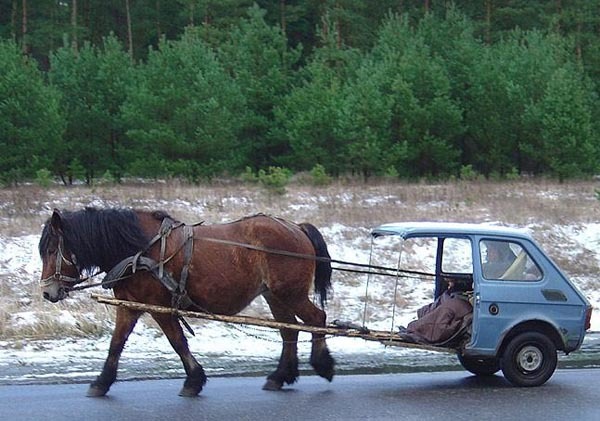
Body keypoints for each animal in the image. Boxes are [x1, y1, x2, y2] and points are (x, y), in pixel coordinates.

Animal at [38, 207, 335, 397]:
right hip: (275, 295)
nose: (47, 293)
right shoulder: (130, 306)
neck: (140, 250)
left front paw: (193, 380)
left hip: (291, 293)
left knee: (316, 320)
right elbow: (116, 344)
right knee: (289, 330)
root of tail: (297, 227)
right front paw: (102, 382)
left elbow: (177, 341)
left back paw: (322, 364)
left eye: (52, 250)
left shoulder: (159, 306)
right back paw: (280, 376)